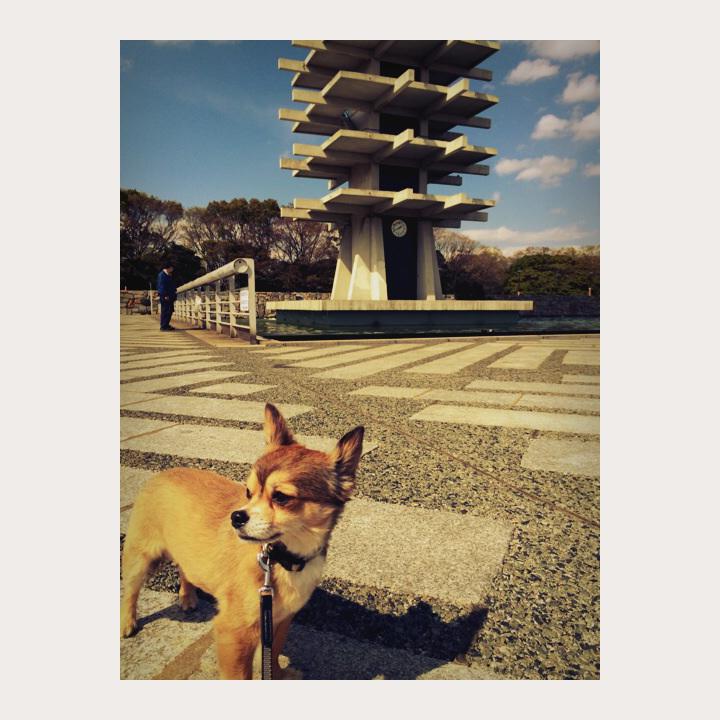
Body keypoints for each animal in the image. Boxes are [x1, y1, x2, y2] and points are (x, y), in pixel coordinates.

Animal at [120, 403, 364, 679]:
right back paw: (128, 623)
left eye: (281, 497)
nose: (236, 517)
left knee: (185, 568)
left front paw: (277, 674)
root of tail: (161, 474)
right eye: (248, 492)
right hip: (139, 558)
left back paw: (187, 597)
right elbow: (240, 675)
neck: (282, 560)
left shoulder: (278, 620)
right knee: (130, 590)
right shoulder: (234, 633)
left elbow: (273, 654)